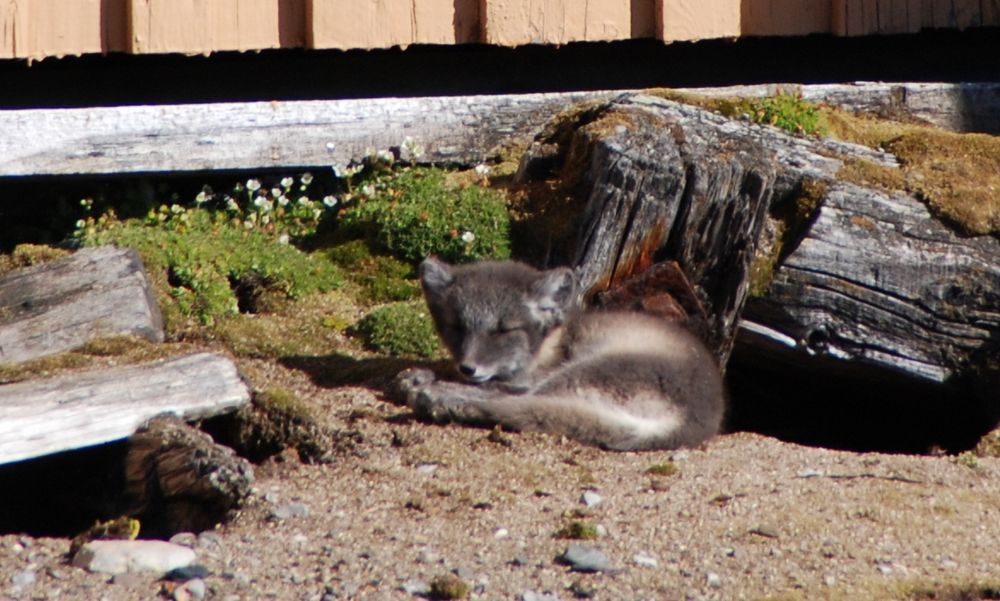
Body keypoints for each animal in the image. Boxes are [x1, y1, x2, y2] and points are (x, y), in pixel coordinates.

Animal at [392, 258, 728, 450]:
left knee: (515, 399)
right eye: (456, 326)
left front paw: (428, 383)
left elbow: (500, 387)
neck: (552, 343)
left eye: (503, 330)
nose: (467, 368)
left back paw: (438, 399)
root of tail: (694, 421)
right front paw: (419, 375)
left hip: (589, 368)